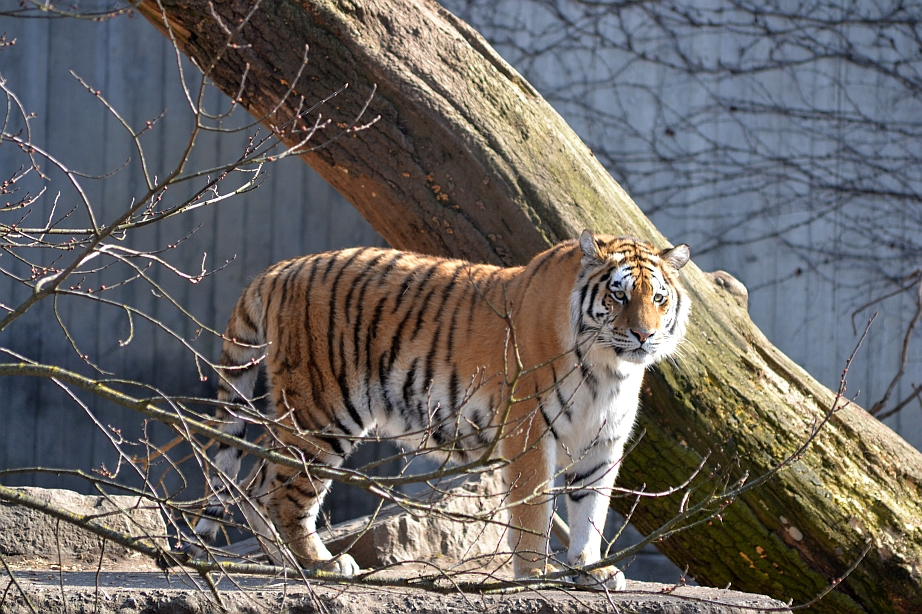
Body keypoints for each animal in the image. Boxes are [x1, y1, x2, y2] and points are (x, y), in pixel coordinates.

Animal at [188, 230, 690, 589]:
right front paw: (534, 575)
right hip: (322, 411)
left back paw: (289, 564)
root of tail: (279, 269)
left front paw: (590, 569)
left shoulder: (603, 443)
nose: (644, 335)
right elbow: (533, 510)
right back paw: (322, 564)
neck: (609, 370)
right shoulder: (529, 431)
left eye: (658, 298)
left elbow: (591, 511)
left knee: (253, 486)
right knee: (280, 491)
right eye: (619, 295)